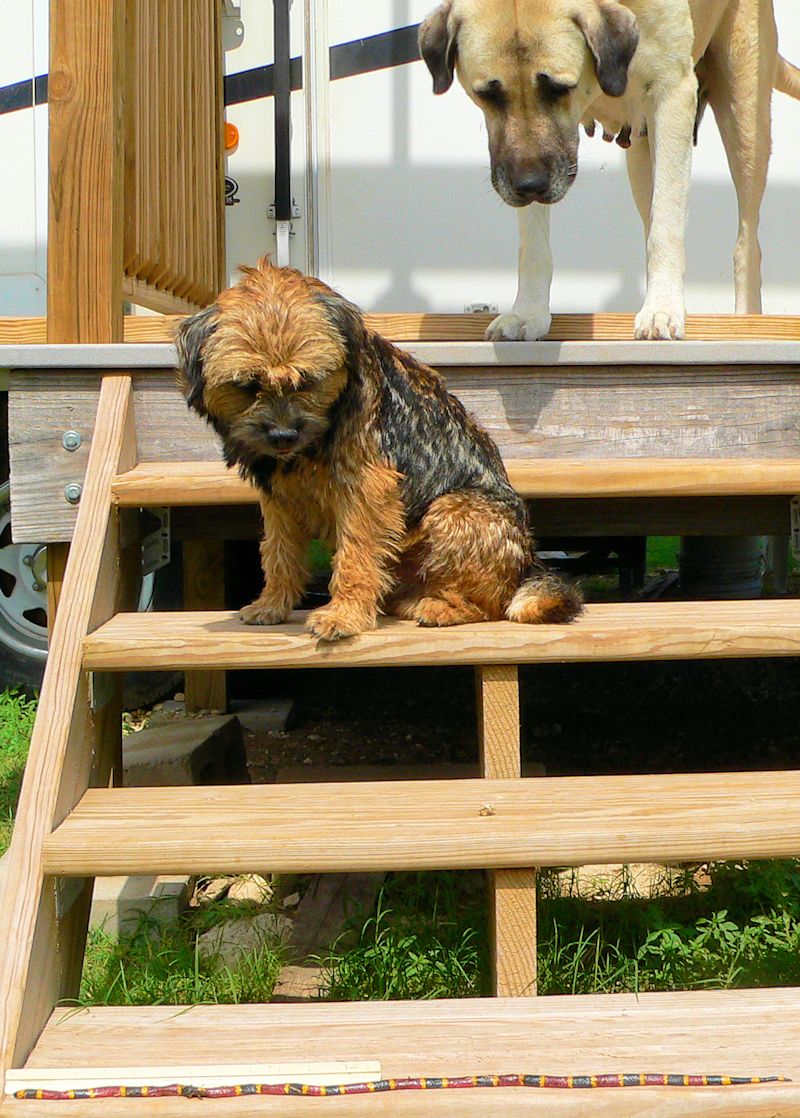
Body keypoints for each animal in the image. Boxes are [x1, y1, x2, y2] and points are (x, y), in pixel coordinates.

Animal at [417, 1, 799, 339]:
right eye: (487, 94)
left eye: (560, 88)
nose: (529, 185)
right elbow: (534, 245)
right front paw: (528, 313)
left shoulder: (672, 92)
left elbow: (667, 226)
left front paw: (662, 308)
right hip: (642, 158)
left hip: (745, 118)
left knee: (746, 239)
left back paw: (745, 322)